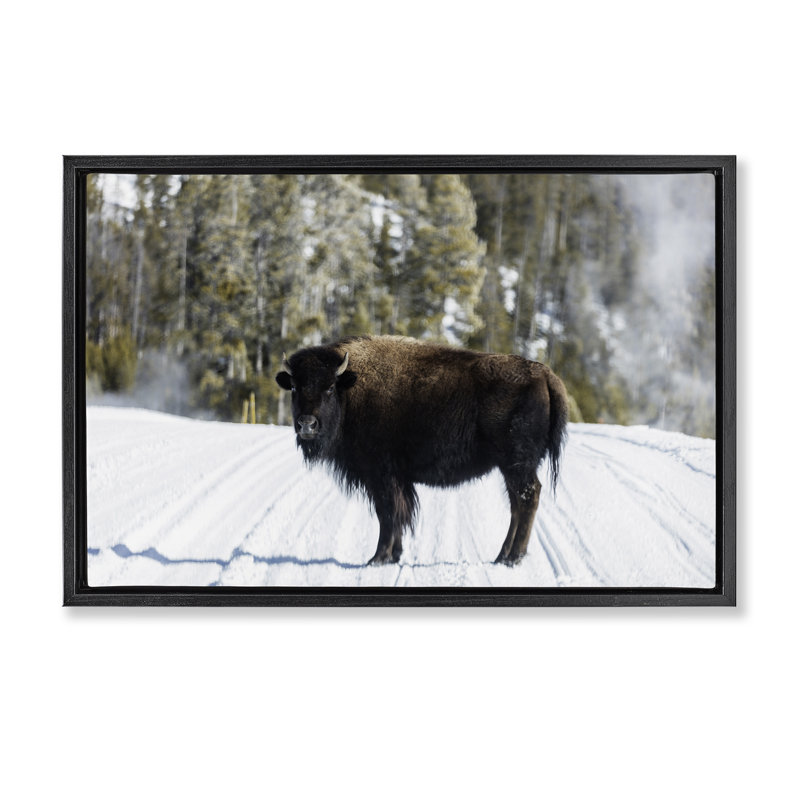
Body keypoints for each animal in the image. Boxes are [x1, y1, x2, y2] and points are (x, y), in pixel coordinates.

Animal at [276, 335, 568, 566]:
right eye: (294, 387)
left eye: (329, 387)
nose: (307, 424)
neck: (350, 389)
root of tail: (545, 374)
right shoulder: (396, 480)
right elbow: (397, 515)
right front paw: (393, 556)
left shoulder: (381, 476)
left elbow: (388, 514)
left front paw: (378, 558)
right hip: (511, 469)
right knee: (517, 505)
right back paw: (501, 556)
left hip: (517, 465)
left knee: (527, 499)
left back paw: (513, 558)